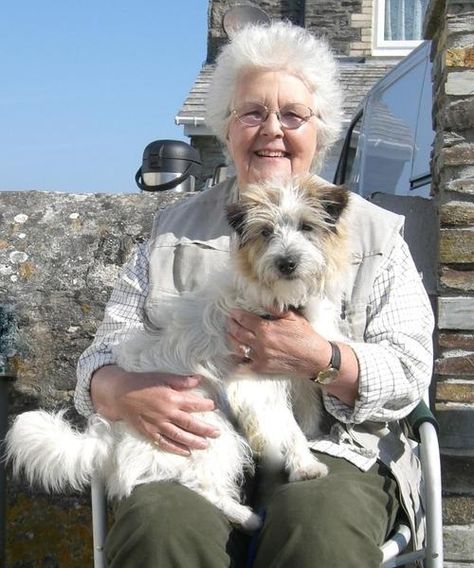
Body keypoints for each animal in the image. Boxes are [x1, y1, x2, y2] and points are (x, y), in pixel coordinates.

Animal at [5, 175, 348, 532]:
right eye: (266, 232)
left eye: (306, 227)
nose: (286, 263)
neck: (281, 300)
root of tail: (110, 440)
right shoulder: (254, 386)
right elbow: (288, 427)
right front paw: (305, 464)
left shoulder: (301, 373)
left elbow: (306, 414)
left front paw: (311, 442)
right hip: (210, 428)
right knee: (200, 484)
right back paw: (247, 517)